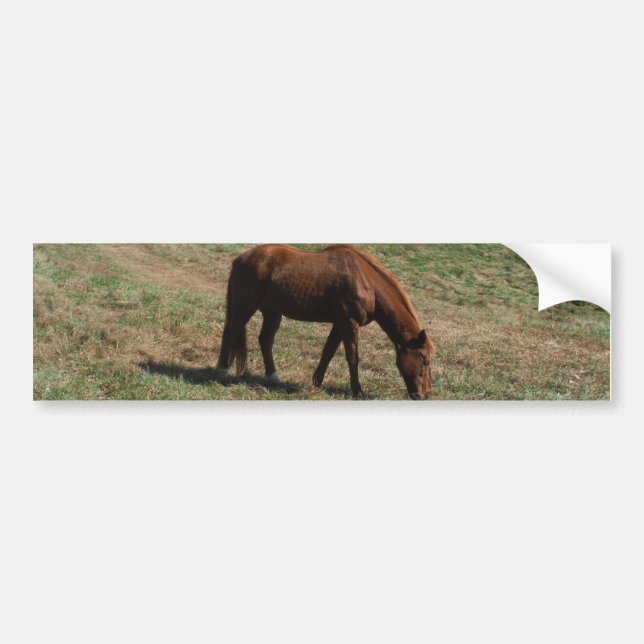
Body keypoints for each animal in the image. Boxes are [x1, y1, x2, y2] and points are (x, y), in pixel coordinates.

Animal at [215, 244, 436, 399]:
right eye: (424, 360)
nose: (424, 395)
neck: (366, 281)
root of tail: (240, 259)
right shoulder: (349, 323)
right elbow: (353, 358)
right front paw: (357, 391)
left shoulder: (339, 324)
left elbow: (328, 352)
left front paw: (317, 382)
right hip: (244, 308)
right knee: (231, 333)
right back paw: (222, 372)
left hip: (272, 313)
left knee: (265, 340)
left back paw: (273, 377)